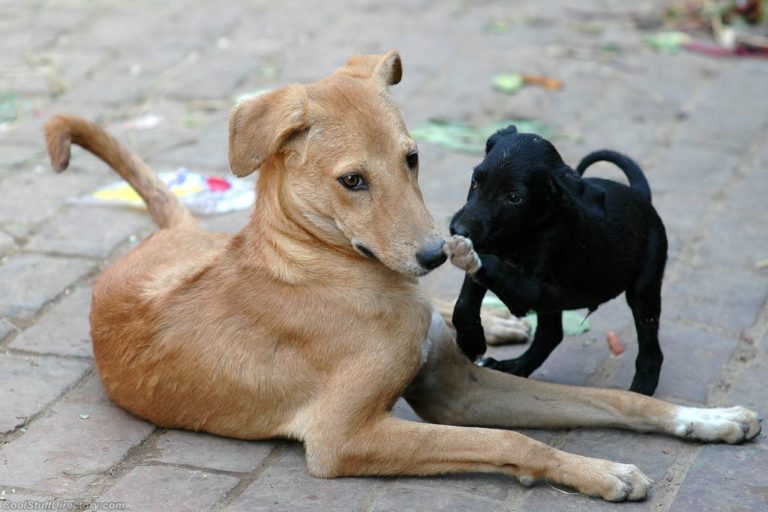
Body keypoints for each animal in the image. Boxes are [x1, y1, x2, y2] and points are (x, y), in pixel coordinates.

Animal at [444, 125, 664, 396]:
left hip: (644, 287)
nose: (458, 230)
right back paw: (515, 366)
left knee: (651, 349)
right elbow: (464, 303)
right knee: (551, 335)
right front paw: (471, 341)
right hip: (552, 303)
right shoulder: (489, 250)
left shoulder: (526, 290)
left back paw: (641, 390)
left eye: (514, 197)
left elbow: (493, 266)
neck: (517, 235)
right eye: (476, 180)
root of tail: (641, 195)